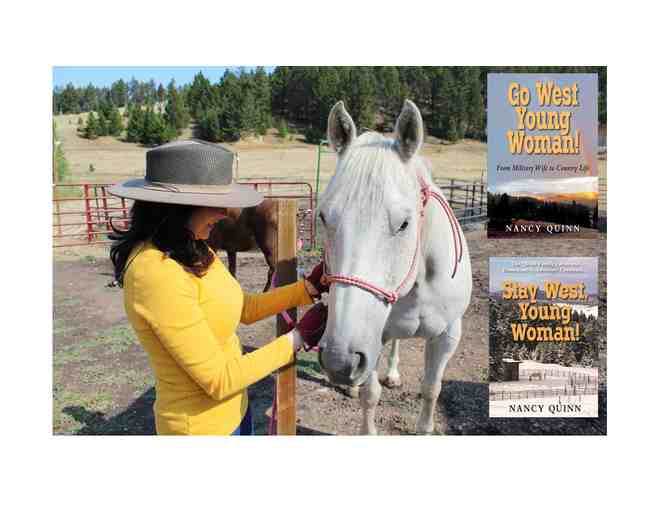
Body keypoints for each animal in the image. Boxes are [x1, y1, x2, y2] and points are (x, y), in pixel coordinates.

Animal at [316, 100, 470, 434]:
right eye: (322, 217)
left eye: (404, 223)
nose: (338, 361)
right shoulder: (374, 337)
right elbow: (370, 395)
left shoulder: (448, 336)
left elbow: (432, 389)